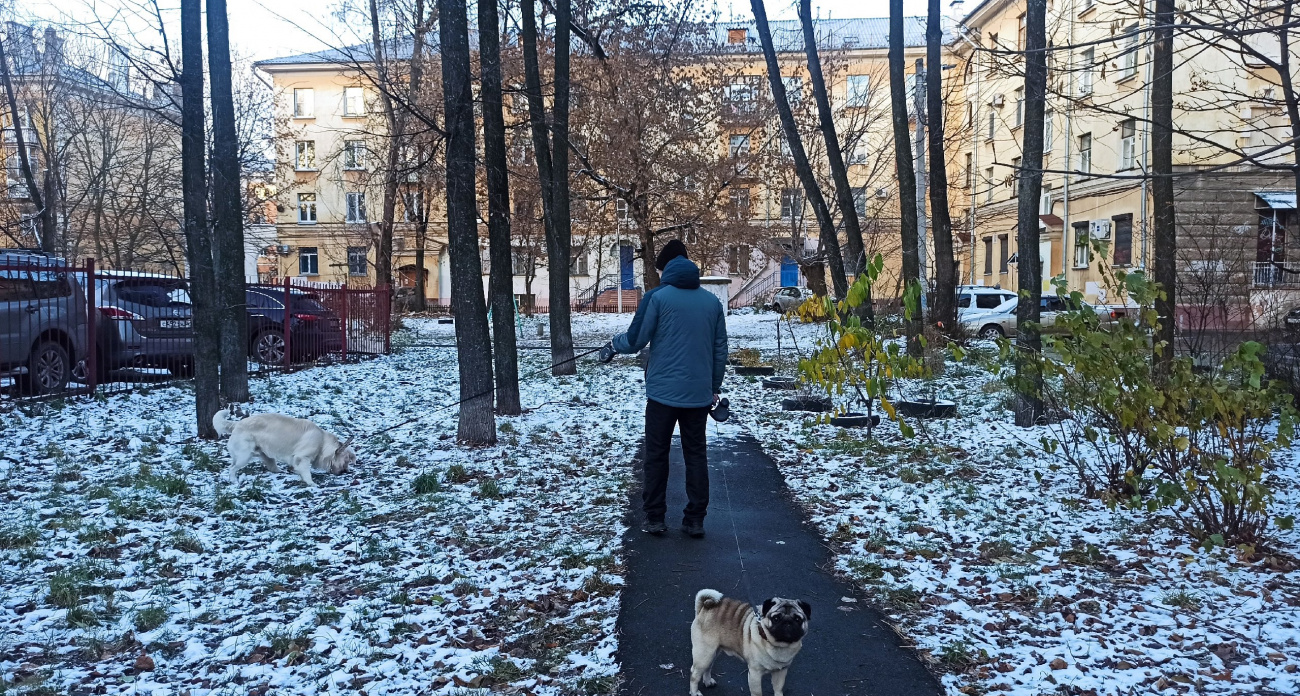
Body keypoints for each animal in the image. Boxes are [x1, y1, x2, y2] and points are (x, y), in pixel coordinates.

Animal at [213, 411, 356, 486]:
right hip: (245, 456)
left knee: (270, 465)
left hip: (264, 454)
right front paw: (312, 484)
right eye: (346, 461)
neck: (322, 441)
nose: (346, 472)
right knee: (232, 468)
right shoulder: (302, 457)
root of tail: (237, 423)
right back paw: (234, 481)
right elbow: (306, 472)